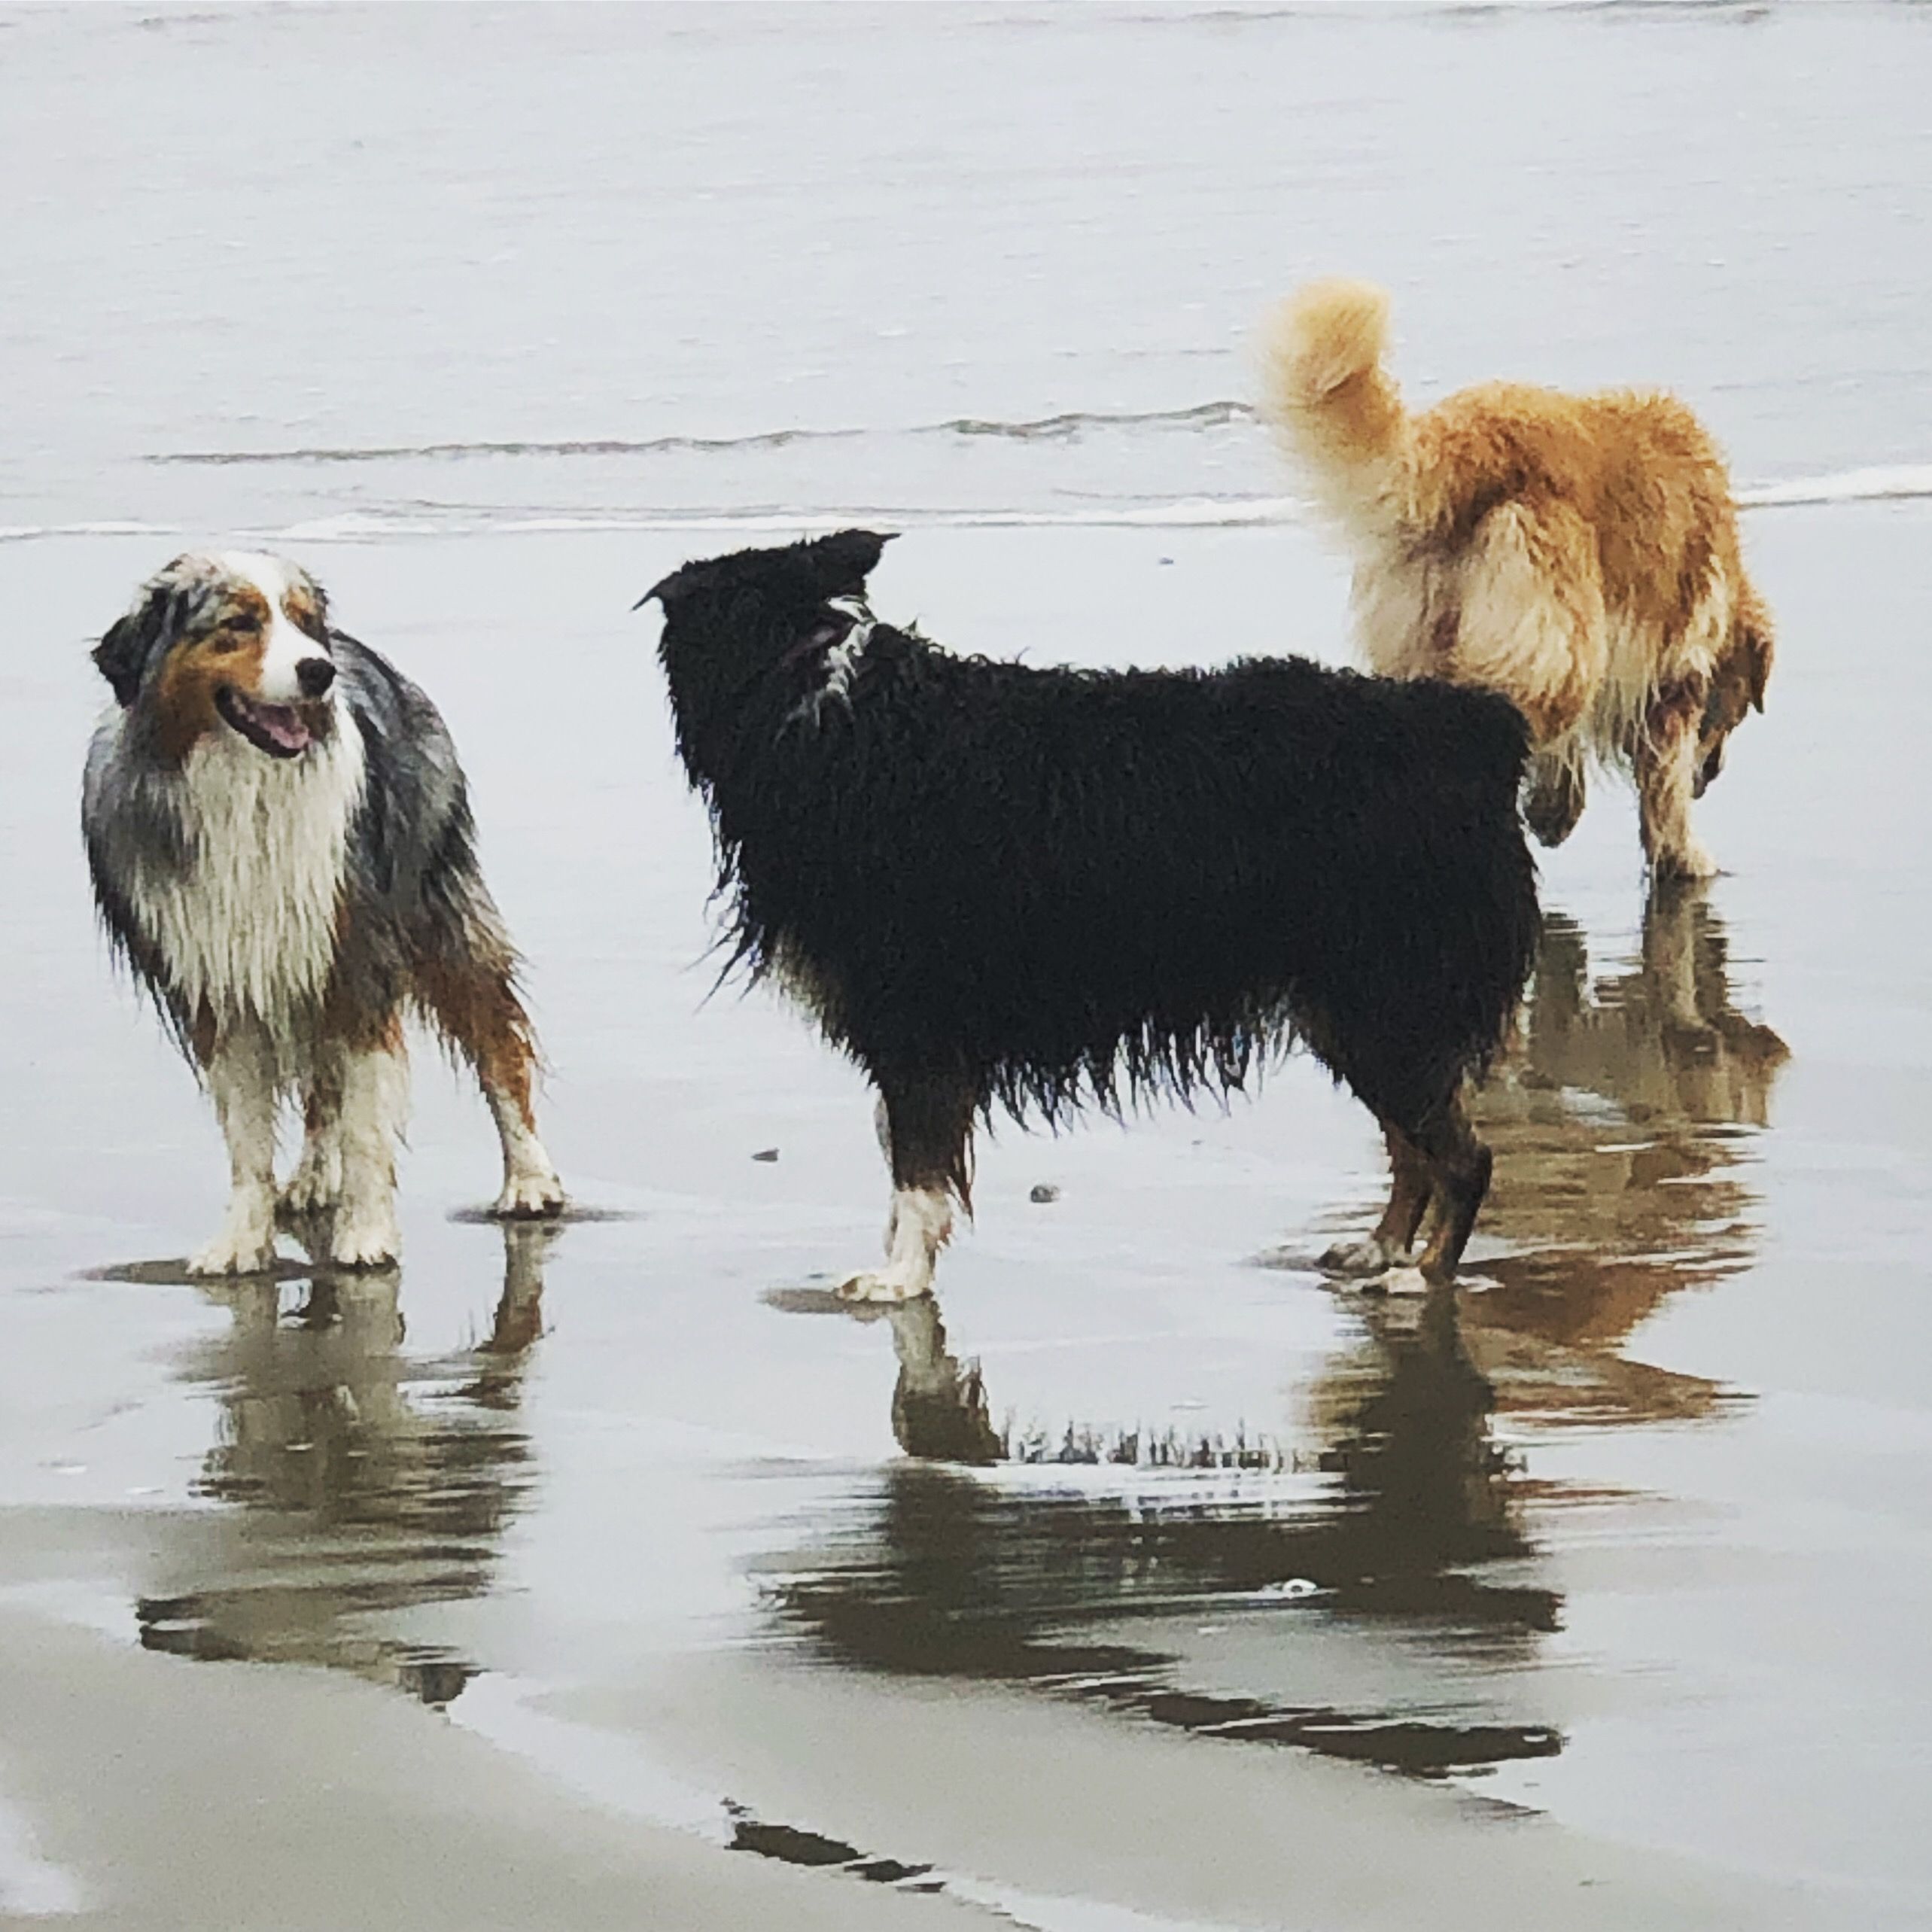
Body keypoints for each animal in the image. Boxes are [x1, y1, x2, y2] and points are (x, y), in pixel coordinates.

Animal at [1259, 281, 1769, 884]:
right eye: (1737, 711)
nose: (1711, 774)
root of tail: (1466, 448)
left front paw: (1557, 809)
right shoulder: (1674, 674)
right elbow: (1662, 785)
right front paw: (1685, 855)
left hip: (1433, 640)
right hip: (1553, 641)